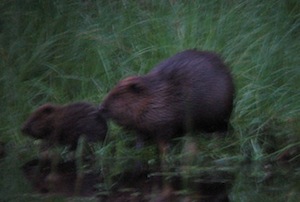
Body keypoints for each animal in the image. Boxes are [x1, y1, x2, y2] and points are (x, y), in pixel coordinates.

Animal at [98, 50, 234, 153]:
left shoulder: (165, 119)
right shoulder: (141, 124)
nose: (101, 108)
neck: (156, 97)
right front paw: (138, 148)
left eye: (116, 96)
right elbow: (140, 135)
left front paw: (165, 151)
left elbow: (164, 136)